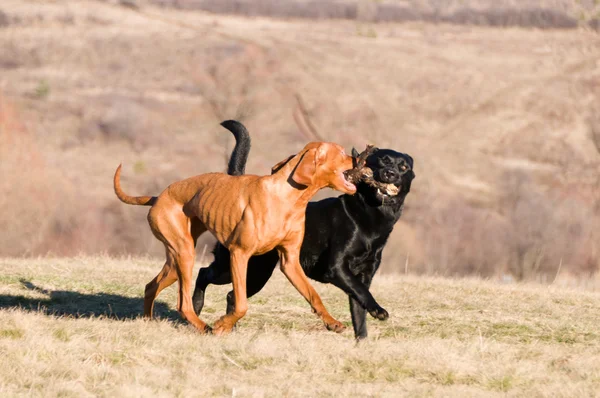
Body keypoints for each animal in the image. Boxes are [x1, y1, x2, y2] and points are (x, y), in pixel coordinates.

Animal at [113, 138, 356, 334]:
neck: (287, 198)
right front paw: (222, 325)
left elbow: (313, 294)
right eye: (342, 151)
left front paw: (332, 322)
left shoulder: (290, 262)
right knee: (183, 303)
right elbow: (241, 304)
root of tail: (158, 197)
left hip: (175, 262)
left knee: (151, 286)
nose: (358, 157)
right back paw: (203, 327)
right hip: (185, 255)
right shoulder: (239, 255)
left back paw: (148, 322)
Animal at [195, 121, 414, 338]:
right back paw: (197, 309)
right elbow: (362, 292)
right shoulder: (337, 268)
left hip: (258, 272)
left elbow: (359, 310)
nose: (390, 174)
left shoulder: (363, 276)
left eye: (403, 167)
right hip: (234, 264)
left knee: (232, 295)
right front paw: (379, 310)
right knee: (205, 273)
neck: (369, 217)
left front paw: (362, 339)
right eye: (382, 161)